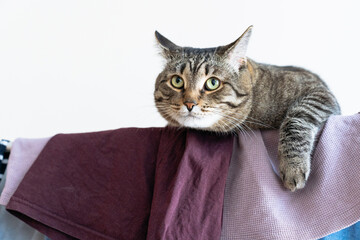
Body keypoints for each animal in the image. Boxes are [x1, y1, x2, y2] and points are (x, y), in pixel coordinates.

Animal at [154, 26, 340, 191]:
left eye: (212, 83)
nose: (189, 103)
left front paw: (293, 165)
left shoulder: (320, 93)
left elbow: (295, 120)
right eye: (177, 81)